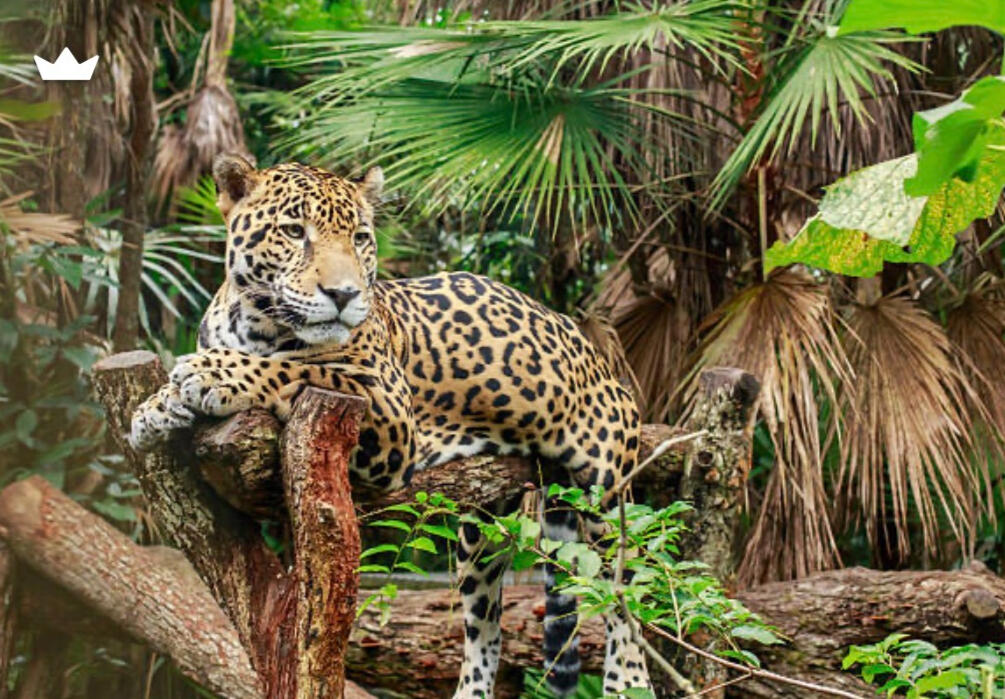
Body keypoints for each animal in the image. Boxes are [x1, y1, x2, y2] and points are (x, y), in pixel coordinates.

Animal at [129, 153, 651, 698]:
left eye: (360, 237)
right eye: (294, 231)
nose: (343, 294)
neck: (257, 324)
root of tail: (591, 348)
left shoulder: (383, 402)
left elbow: (296, 368)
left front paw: (211, 374)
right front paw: (153, 408)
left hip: (607, 488)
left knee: (628, 585)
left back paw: (627, 677)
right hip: (484, 526)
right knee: (485, 625)